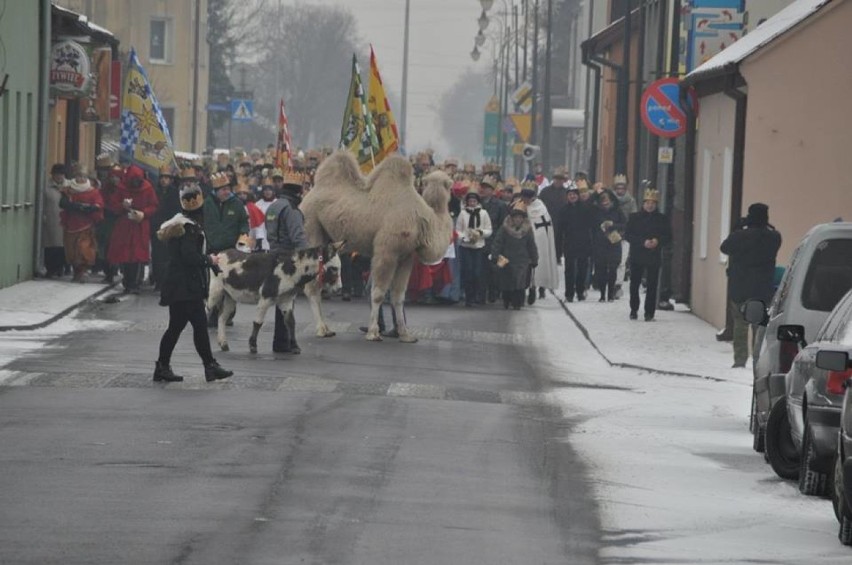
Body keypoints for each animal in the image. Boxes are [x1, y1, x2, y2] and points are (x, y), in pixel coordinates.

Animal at [302, 150, 456, 342]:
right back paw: (322, 329)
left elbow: (398, 296)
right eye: (448, 184)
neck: (421, 217)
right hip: (311, 223)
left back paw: (326, 327)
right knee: (312, 285)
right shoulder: (387, 250)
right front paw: (374, 332)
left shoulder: (406, 256)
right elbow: (378, 293)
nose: (453, 182)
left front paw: (405, 334)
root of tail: (307, 196)